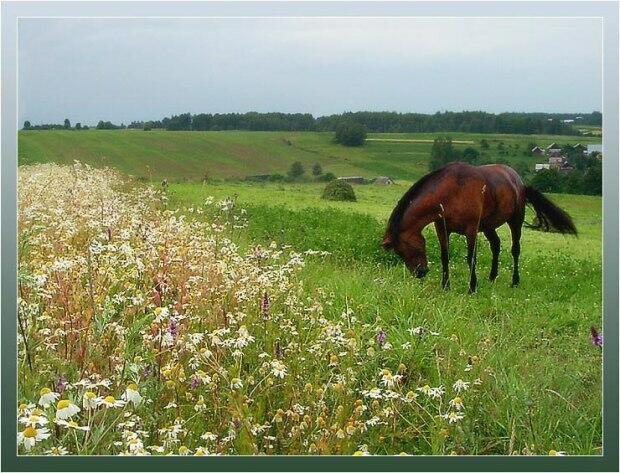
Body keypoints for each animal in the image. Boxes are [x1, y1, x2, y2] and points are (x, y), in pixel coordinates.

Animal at [382, 162, 576, 292]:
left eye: (406, 246)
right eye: (399, 252)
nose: (420, 273)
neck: (451, 192)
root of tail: (519, 182)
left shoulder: (471, 229)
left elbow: (471, 258)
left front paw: (472, 287)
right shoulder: (442, 229)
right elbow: (445, 256)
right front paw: (445, 286)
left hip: (515, 221)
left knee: (515, 250)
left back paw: (514, 281)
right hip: (489, 226)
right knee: (496, 245)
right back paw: (492, 276)